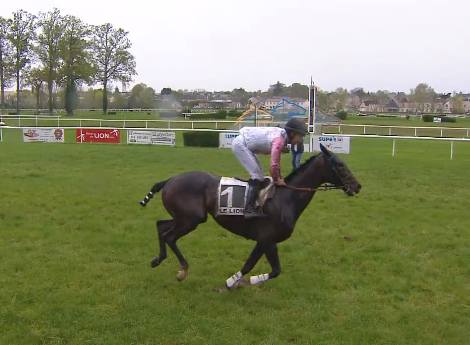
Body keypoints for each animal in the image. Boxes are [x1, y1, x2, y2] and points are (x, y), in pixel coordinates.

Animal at [138, 144, 362, 288]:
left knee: (161, 226)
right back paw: (182, 269)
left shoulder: (263, 240)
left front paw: (232, 281)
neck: (286, 199)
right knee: (169, 236)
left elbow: (249, 264)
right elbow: (275, 270)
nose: (357, 186)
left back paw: (158, 259)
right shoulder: (268, 239)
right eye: (340, 165)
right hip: (192, 219)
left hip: (183, 218)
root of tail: (169, 180)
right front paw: (252, 280)